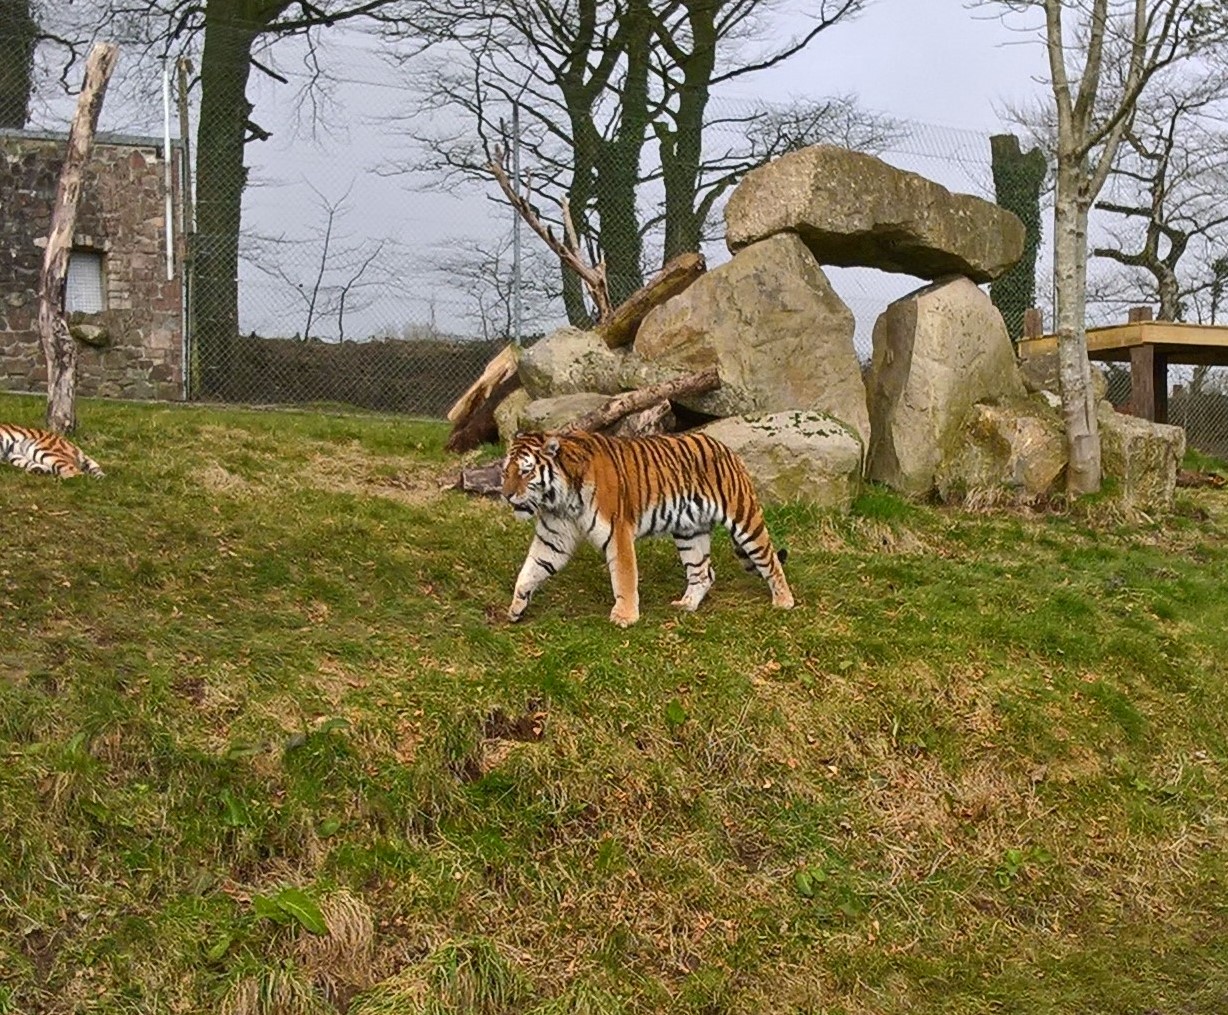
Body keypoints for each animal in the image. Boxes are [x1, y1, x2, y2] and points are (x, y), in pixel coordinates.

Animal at [501, 429, 794, 627]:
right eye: (506, 472)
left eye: (526, 472)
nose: (506, 495)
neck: (558, 499)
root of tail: (727, 448)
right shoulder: (554, 536)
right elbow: (530, 570)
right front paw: (516, 607)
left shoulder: (617, 531)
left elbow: (624, 576)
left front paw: (625, 616)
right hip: (689, 531)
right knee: (703, 572)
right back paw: (686, 605)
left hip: (744, 518)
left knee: (769, 560)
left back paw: (783, 601)